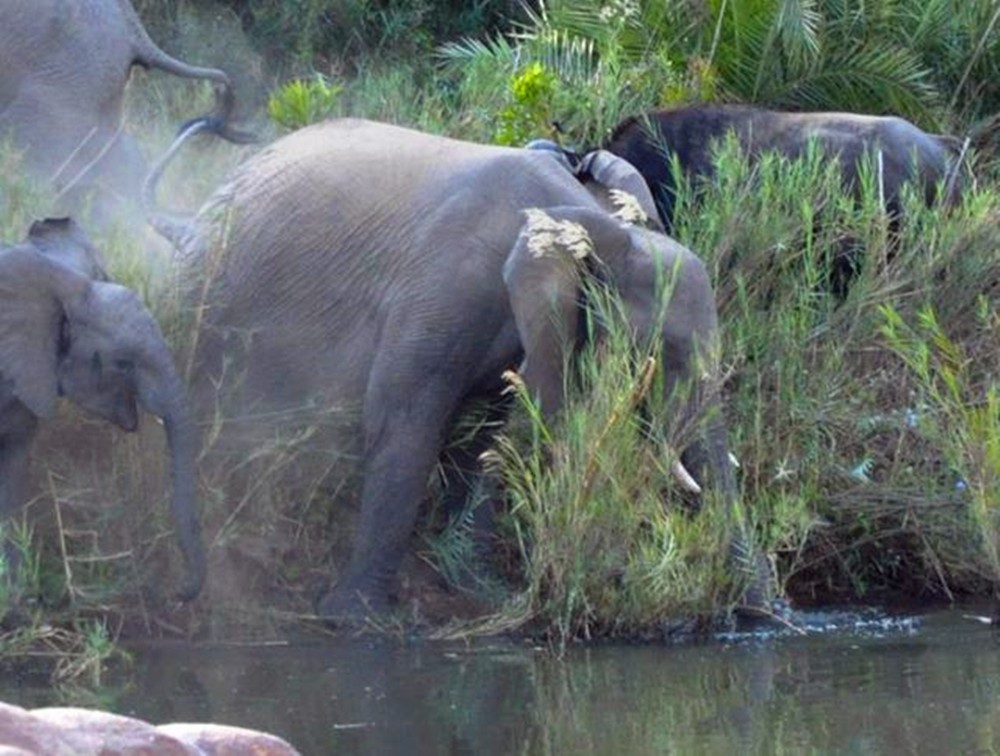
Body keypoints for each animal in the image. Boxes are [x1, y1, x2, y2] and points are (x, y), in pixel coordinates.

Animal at [143, 118, 764, 628]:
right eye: (659, 351)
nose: (759, 619)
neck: (577, 215)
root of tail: (190, 216)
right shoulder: (444, 285)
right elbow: (403, 422)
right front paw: (354, 619)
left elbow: (494, 436)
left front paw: (475, 585)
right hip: (202, 298)